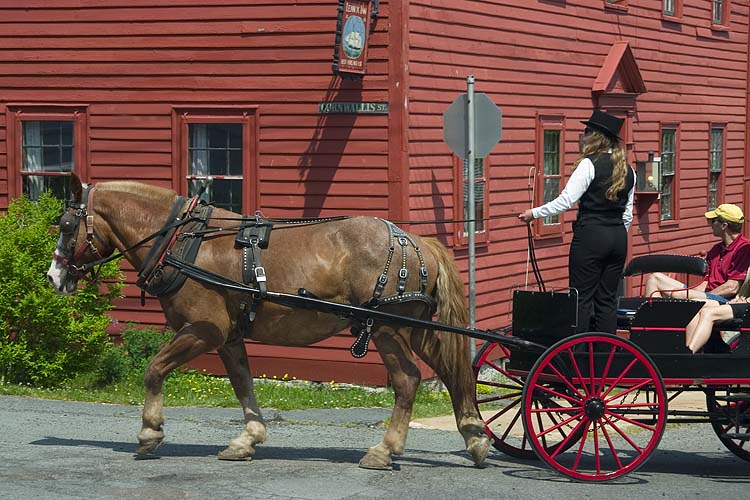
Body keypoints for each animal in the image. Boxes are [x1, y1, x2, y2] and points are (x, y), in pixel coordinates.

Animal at [48, 175, 494, 468]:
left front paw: (149, 432)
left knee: (407, 381)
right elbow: (243, 383)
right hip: (415, 328)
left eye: (67, 225)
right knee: (452, 374)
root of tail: (416, 240)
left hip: (387, 328)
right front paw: (248, 439)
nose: (54, 277)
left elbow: (154, 370)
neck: (183, 244)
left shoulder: (203, 330)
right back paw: (474, 436)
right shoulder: (228, 336)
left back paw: (384, 450)